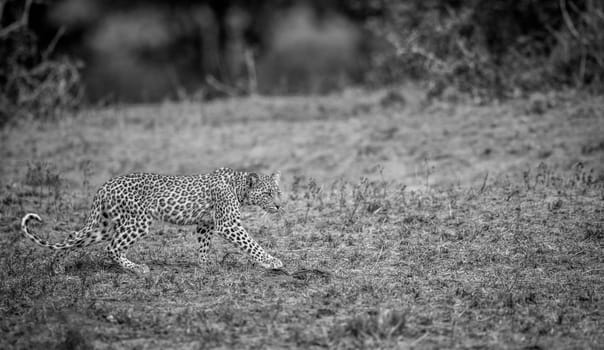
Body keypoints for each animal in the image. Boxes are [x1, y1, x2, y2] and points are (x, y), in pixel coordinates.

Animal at [18, 167, 284, 274]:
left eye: (278, 191)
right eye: (267, 193)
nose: (280, 205)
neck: (240, 188)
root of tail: (103, 186)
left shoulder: (206, 223)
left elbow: (203, 245)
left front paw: (204, 265)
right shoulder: (228, 224)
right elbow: (252, 244)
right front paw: (271, 261)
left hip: (104, 225)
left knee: (73, 236)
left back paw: (57, 266)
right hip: (138, 222)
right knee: (111, 248)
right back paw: (137, 269)